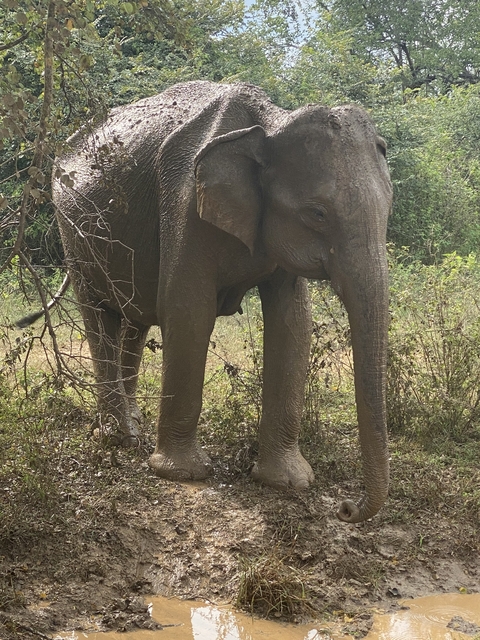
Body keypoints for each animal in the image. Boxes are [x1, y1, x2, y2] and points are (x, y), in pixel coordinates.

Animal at [51, 80, 392, 523]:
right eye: (317, 213)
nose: (346, 508)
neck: (271, 122)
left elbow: (292, 321)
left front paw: (288, 482)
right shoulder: (183, 201)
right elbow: (188, 309)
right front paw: (182, 474)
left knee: (134, 321)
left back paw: (133, 423)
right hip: (74, 235)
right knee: (100, 315)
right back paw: (118, 438)